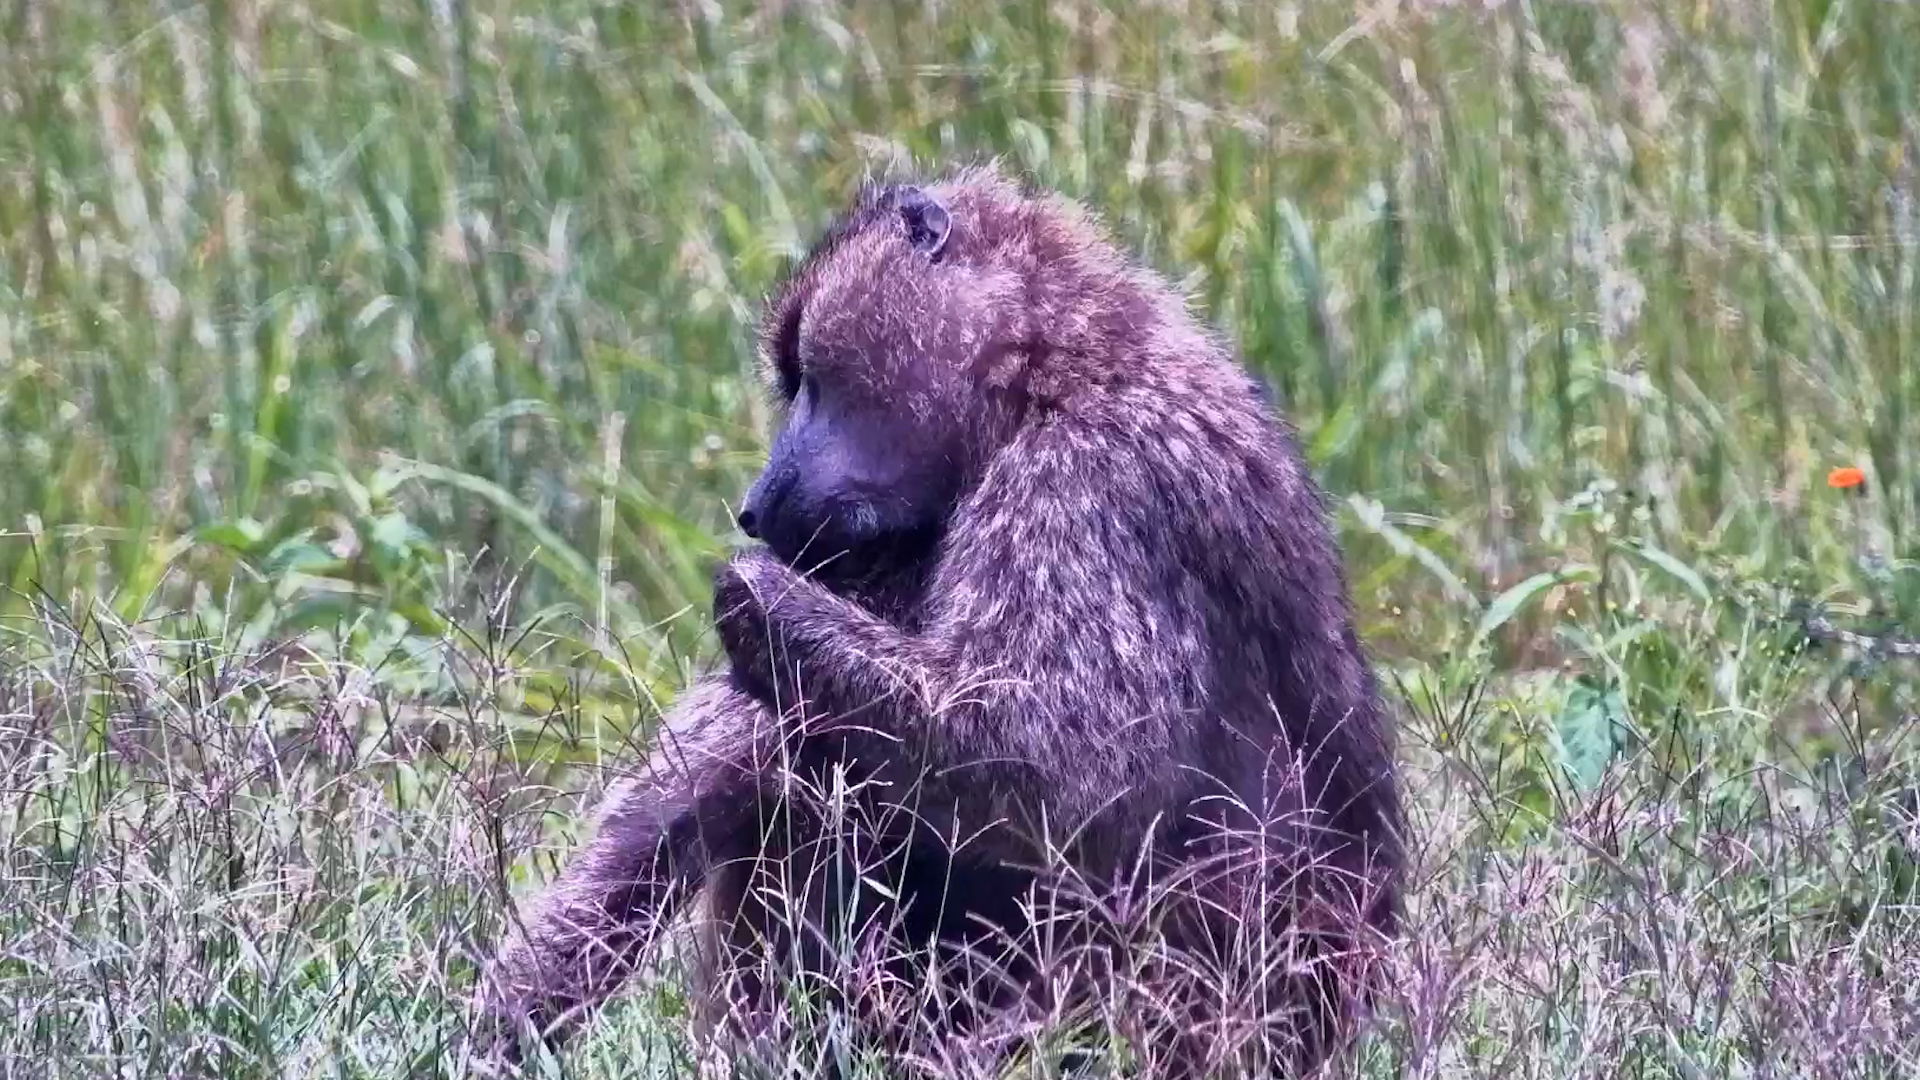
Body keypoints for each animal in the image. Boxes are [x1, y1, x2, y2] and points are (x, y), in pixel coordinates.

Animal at [471, 162, 1404, 1080]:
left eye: (806, 375)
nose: (756, 506)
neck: (1053, 367)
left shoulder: (1084, 483)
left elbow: (1065, 774)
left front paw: (751, 589)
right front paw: (506, 1019)